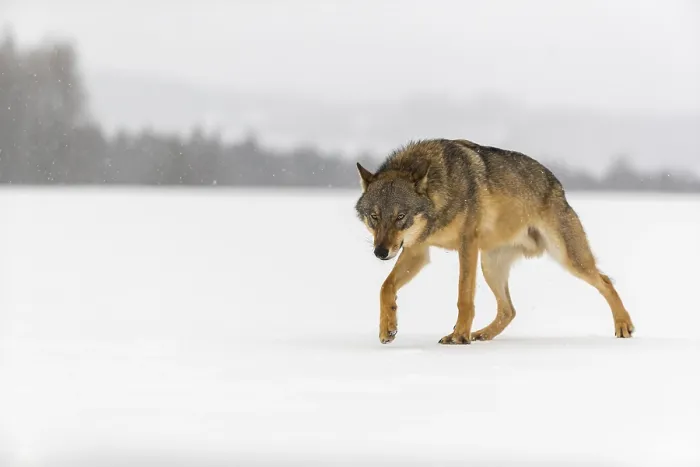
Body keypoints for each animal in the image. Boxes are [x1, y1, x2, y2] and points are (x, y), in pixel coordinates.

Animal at [354, 138, 634, 345]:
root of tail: (557, 184)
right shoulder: (416, 250)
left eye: (400, 216)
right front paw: (388, 328)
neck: (442, 190)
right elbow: (385, 287)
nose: (380, 252)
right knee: (509, 310)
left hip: (568, 258)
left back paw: (624, 325)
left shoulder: (467, 244)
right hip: (490, 266)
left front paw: (460, 336)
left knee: (605, 281)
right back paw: (482, 334)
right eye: (374, 217)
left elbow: (464, 297)